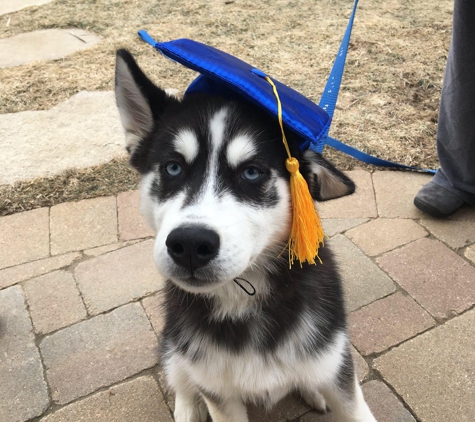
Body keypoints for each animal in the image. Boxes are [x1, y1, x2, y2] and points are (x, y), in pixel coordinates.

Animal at [114, 50, 376, 422]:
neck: (242, 300)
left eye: (252, 173)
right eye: (172, 167)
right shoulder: (216, 390)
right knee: (179, 374)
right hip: (174, 340)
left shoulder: (335, 363)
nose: (190, 244)